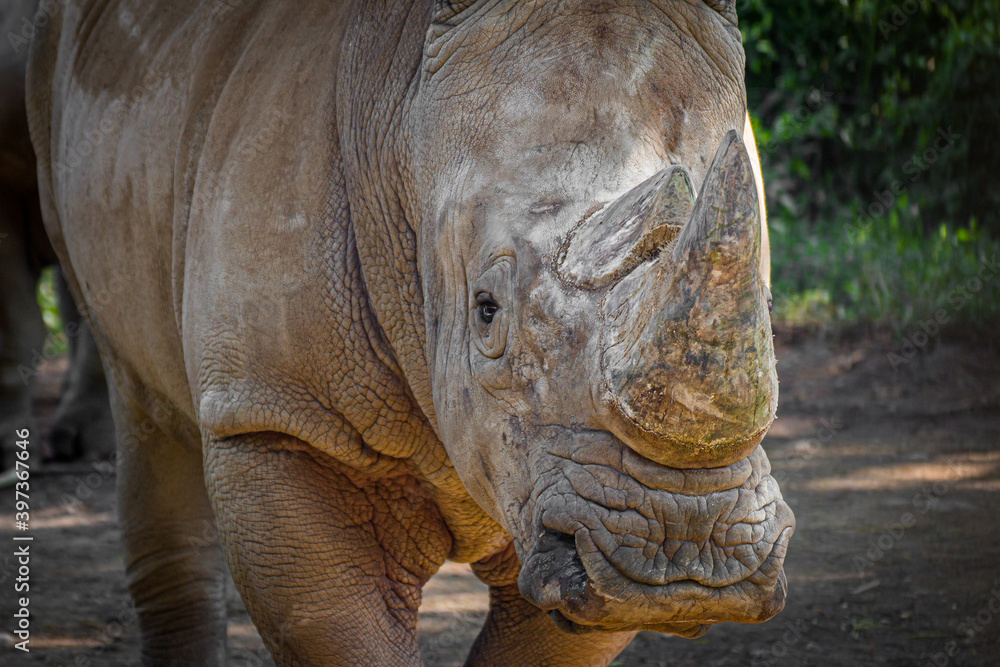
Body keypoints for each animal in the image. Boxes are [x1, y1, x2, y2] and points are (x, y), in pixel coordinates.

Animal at [26, 0, 794, 664]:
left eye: (766, 304)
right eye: (485, 311)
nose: (681, 545)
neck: (402, 132)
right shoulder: (276, 414)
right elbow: (341, 632)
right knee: (142, 394)